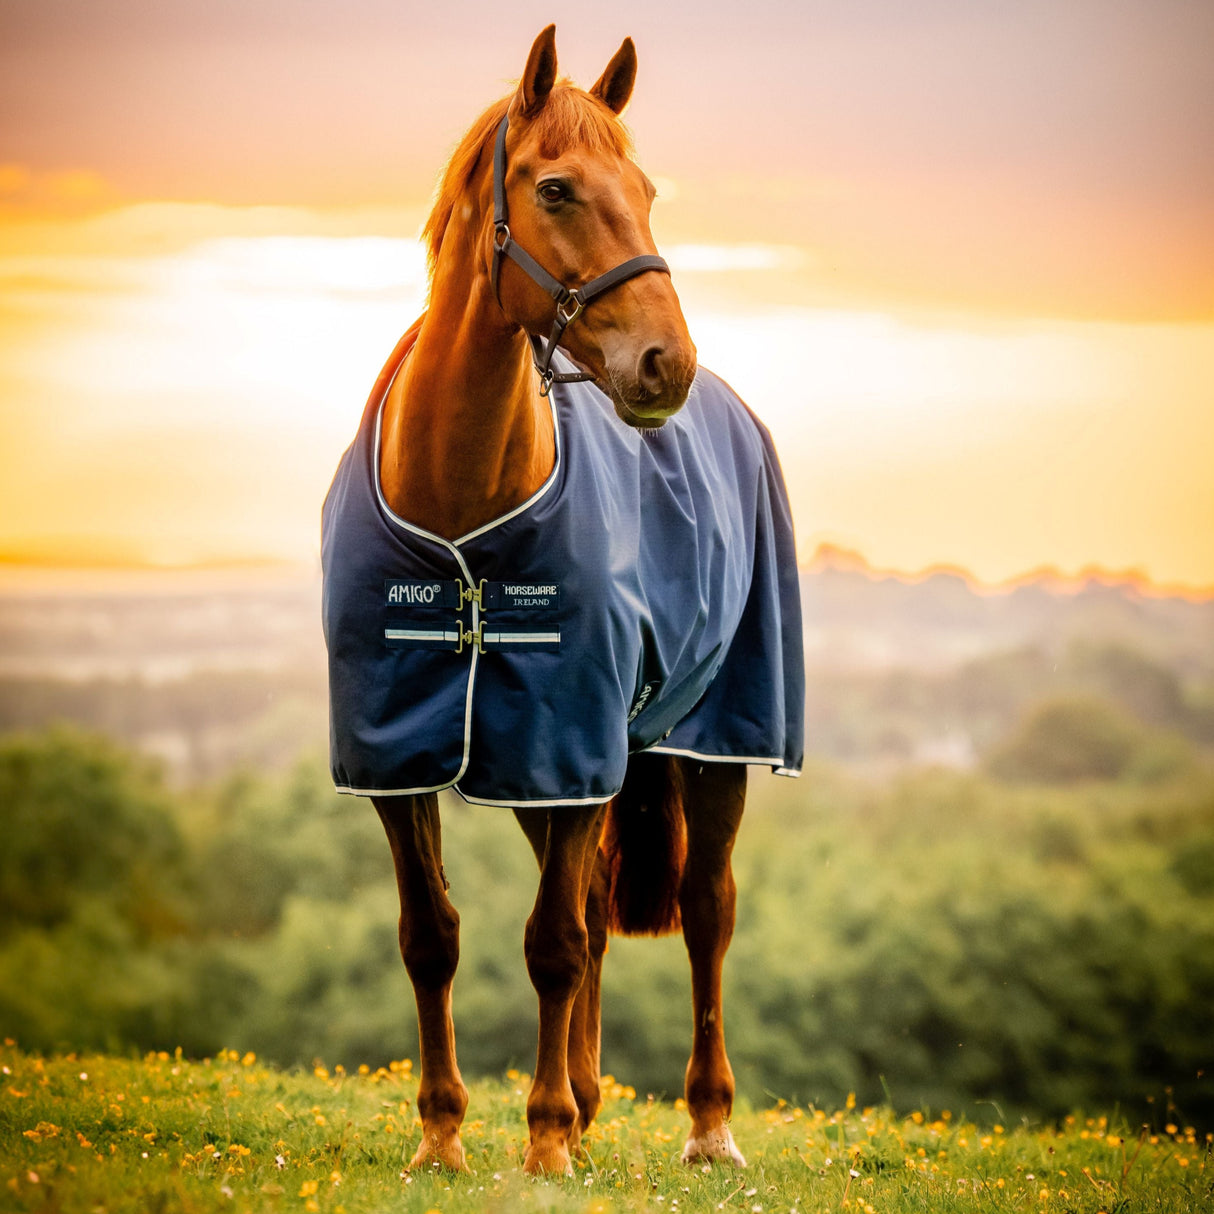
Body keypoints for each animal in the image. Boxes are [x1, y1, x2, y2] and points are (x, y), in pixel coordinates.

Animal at [321, 25, 804, 1176]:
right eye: (555, 187)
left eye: (647, 188)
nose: (664, 363)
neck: (460, 507)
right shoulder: (409, 754)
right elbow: (432, 936)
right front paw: (444, 1136)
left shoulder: (573, 742)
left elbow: (552, 942)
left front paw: (540, 1143)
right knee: (586, 903)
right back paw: (584, 1100)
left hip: (712, 741)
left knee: (704, 909)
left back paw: (706, 1123)